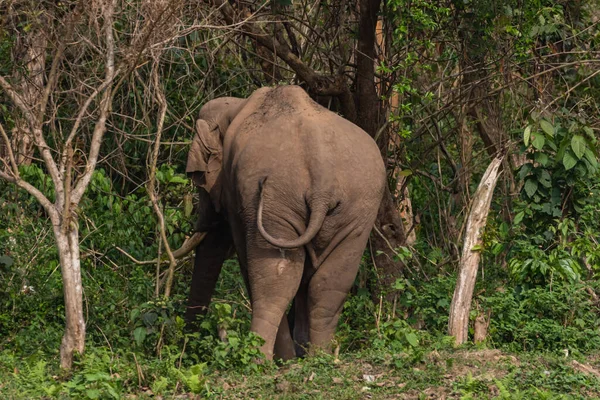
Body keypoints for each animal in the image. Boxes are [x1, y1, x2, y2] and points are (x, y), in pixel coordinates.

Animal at [183, 84, 384, 360]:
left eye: (199, 179)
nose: (186, 347)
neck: (236, 106)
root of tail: (322, 178)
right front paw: (297, 354)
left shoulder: (238, 196)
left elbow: (247, 261)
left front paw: (286, 358)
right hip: (359, 207)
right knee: (331, 281)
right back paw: (319, 357)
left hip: (275, 200)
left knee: (275, 278)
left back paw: (261, 359)